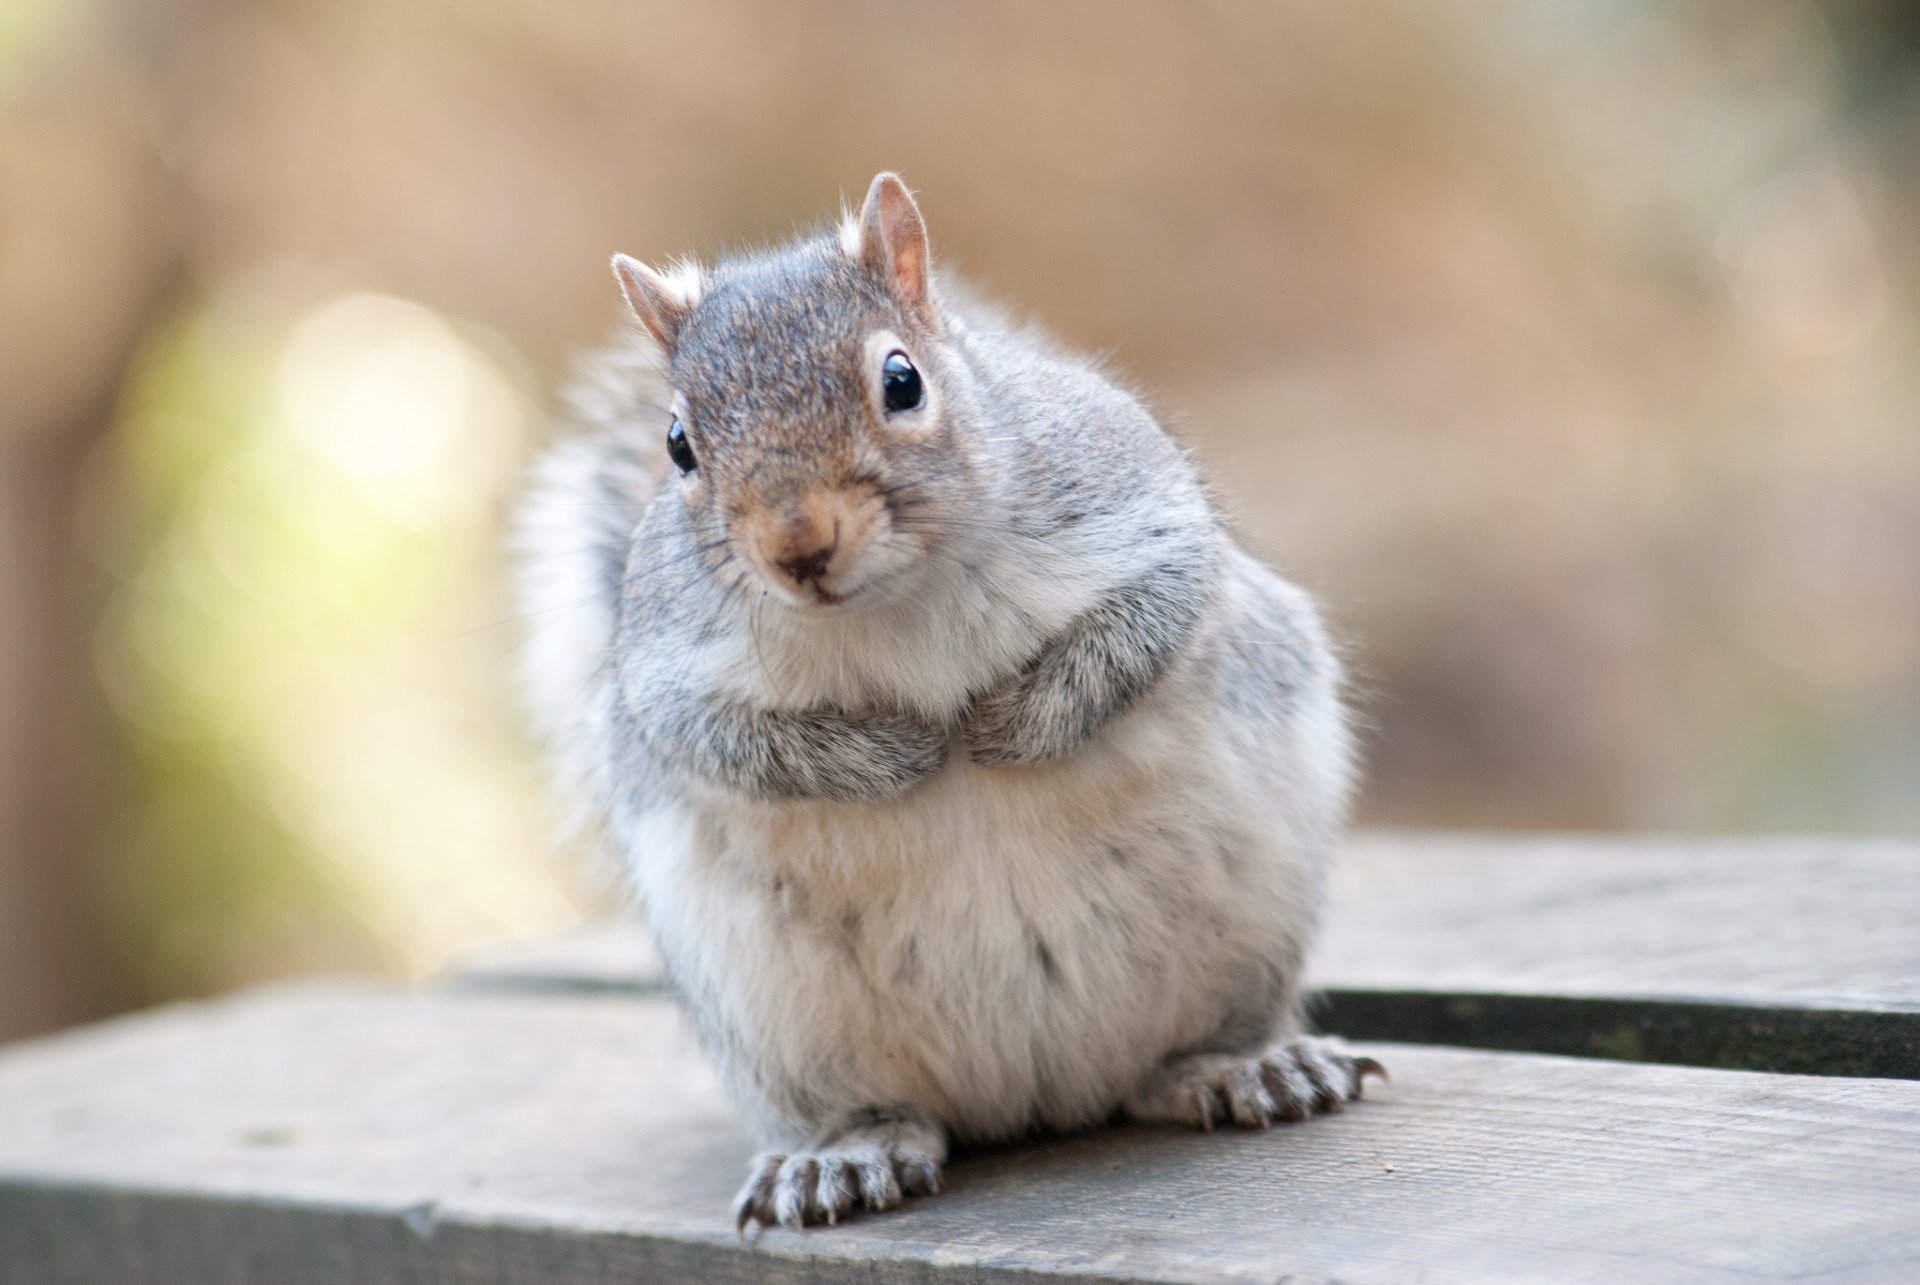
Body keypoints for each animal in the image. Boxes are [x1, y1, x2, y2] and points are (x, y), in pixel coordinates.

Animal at [514, 173, 1383, 1232]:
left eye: (902, 381)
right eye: (678, 444)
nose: (798, 546)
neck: (894, 600)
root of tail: (1044, 1092)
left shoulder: (1138, 501)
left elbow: (1151, 611)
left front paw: (1012, 724)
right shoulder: (661, 663)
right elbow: (720, 737)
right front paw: (894, 755)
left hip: (1252, 927)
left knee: (1186, 1051)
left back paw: (1243, 1065)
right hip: (774, 1019)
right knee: (875, 1108)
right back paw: (843, 1155)